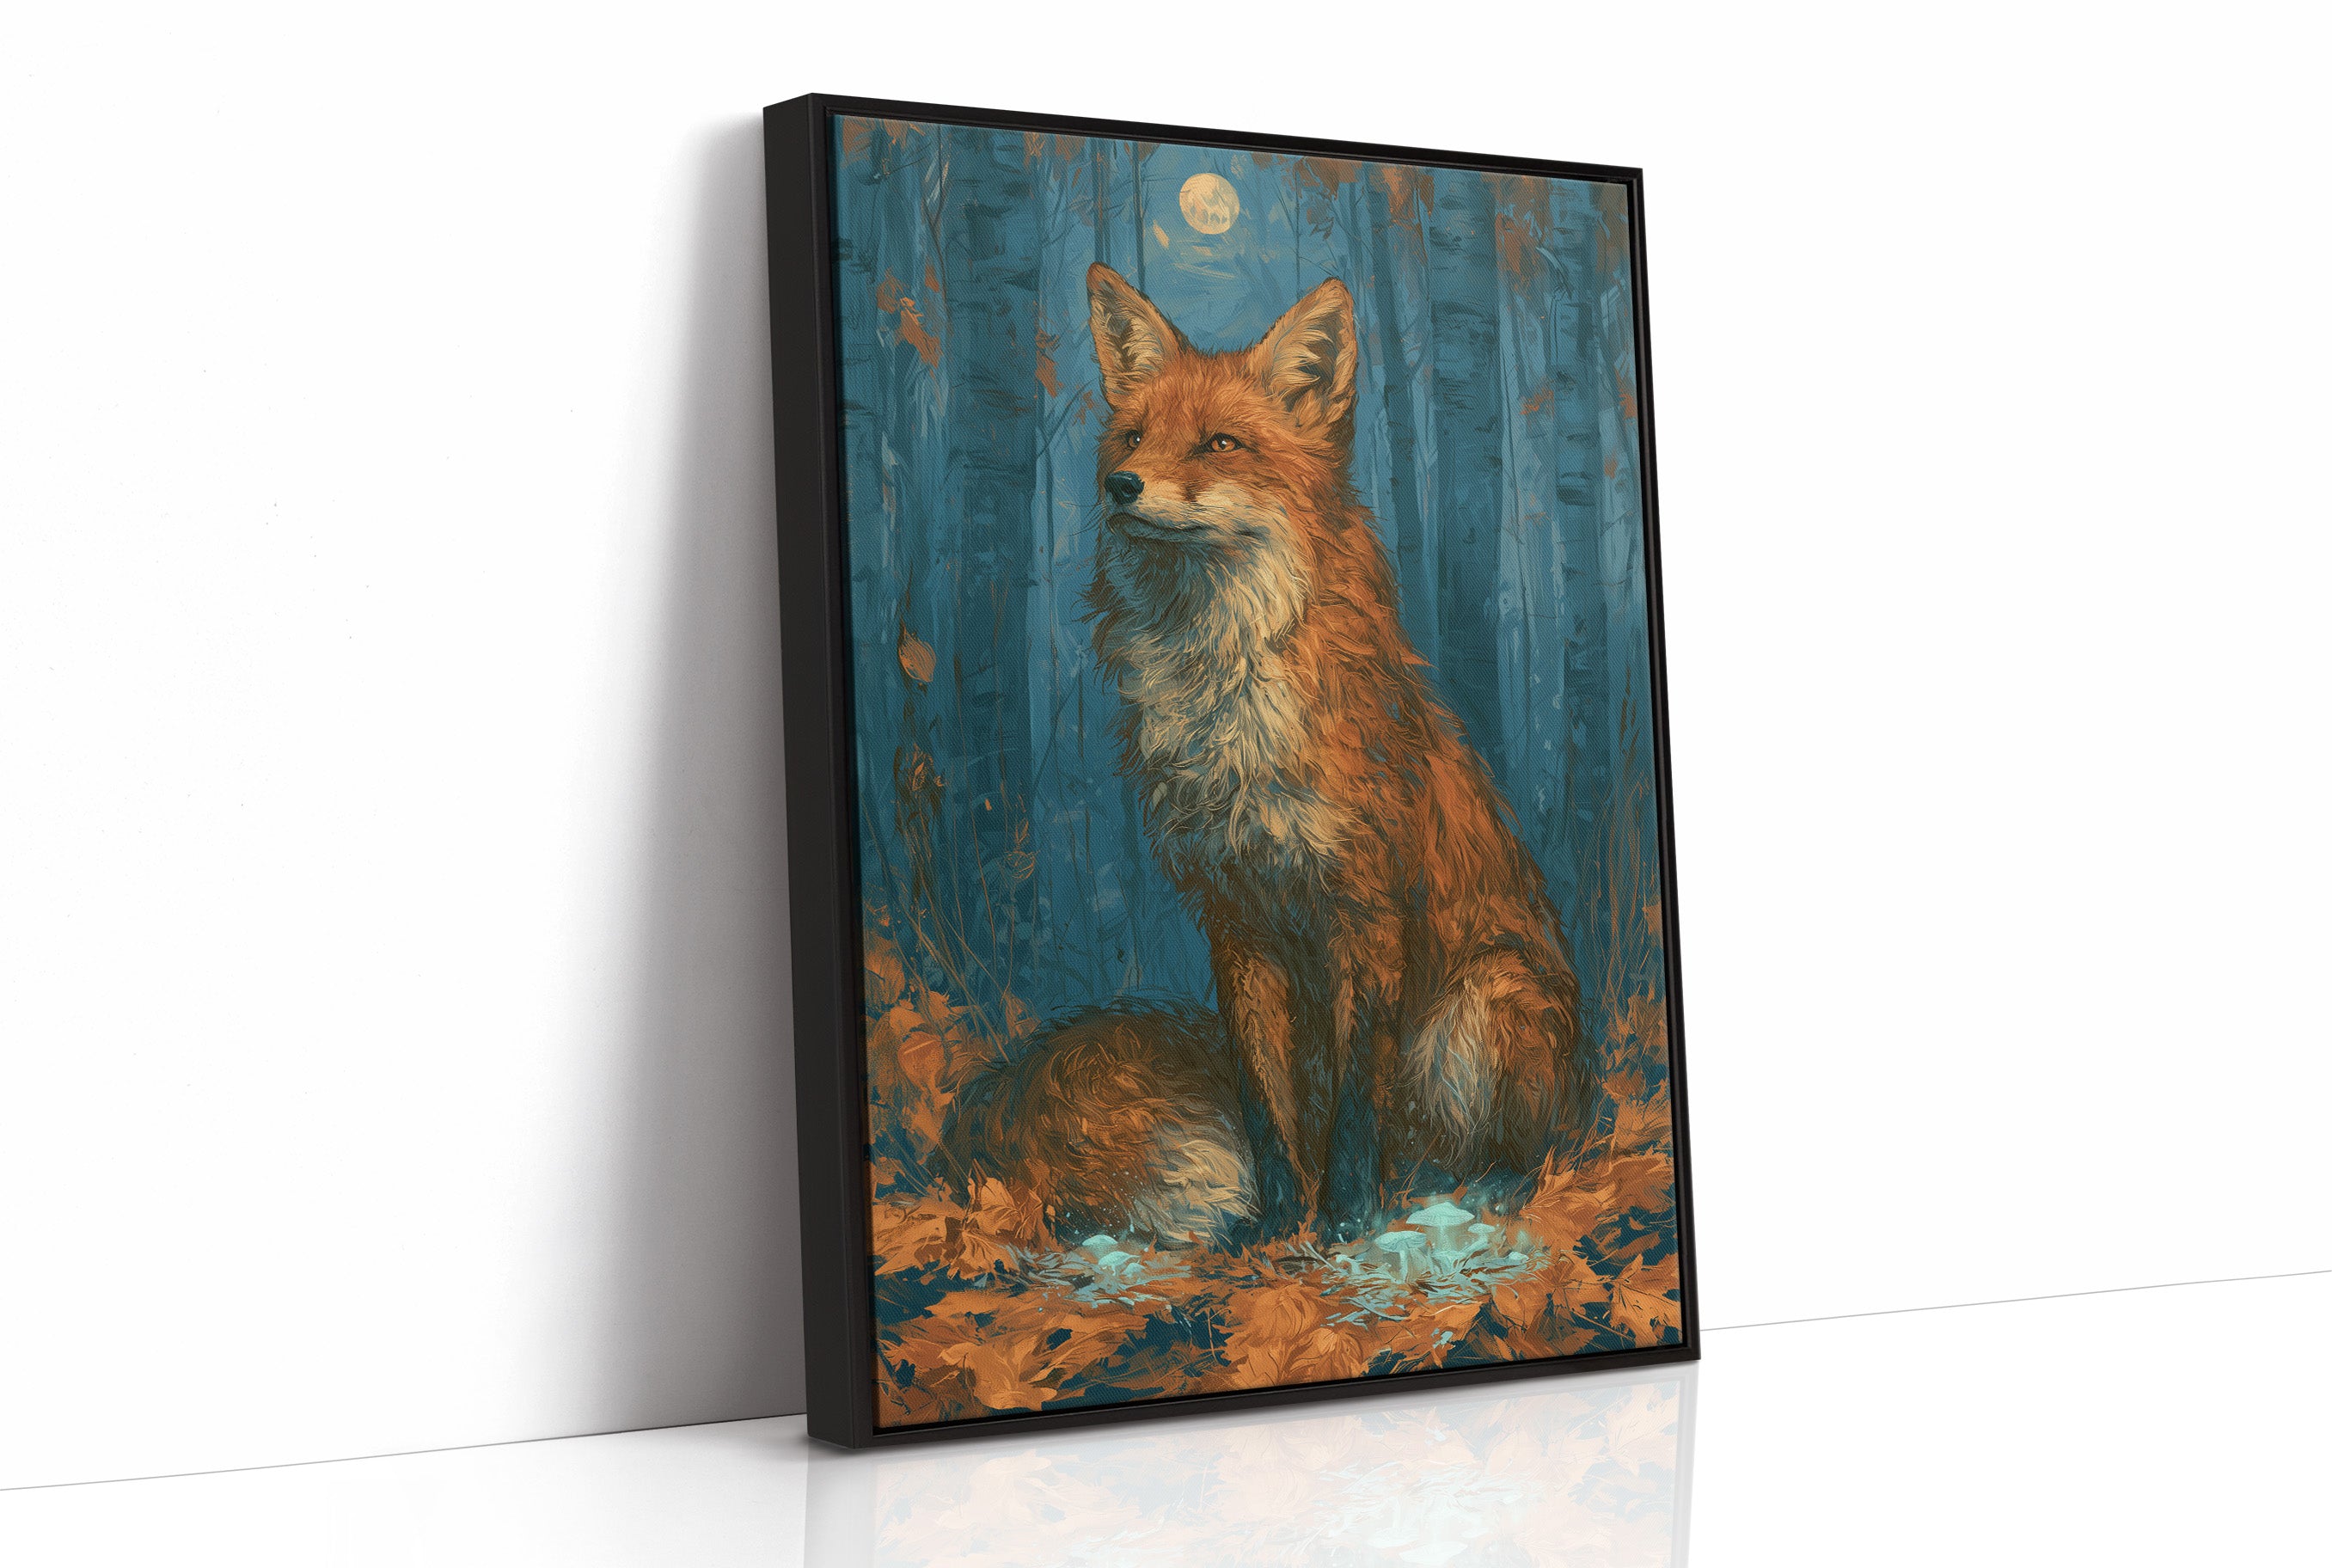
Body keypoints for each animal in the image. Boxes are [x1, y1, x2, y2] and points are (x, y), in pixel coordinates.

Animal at [943, 263, 1592, 1245]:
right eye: (1134, 436)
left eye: (1220, 443)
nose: (1121, 485)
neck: (1225, 700)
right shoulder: (1235, 921)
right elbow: (1264, 1099)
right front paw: (1279, 1222)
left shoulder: (1365, 914)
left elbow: (1357, 1098)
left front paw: (1346, 1216)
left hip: (1482, 1003)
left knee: (1519, 1152)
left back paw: (1473, 1191)